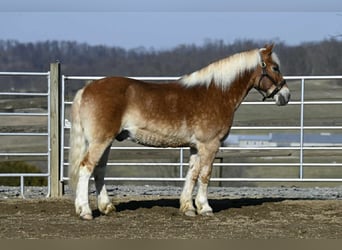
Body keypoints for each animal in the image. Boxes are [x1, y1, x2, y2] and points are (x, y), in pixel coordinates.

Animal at [69, 44, 292, 220]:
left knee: (99, 171)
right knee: (86, 168)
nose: (286, 95)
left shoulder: (196, 147)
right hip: (100, 141)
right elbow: (205, 175)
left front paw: (188, 208)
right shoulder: (210, 145)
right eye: (275, 67)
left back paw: (106, 207)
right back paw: (85, 211)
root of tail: (87, 89)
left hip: (105, 141)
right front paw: (205, 208)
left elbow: (191, 175)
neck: (216, 93)